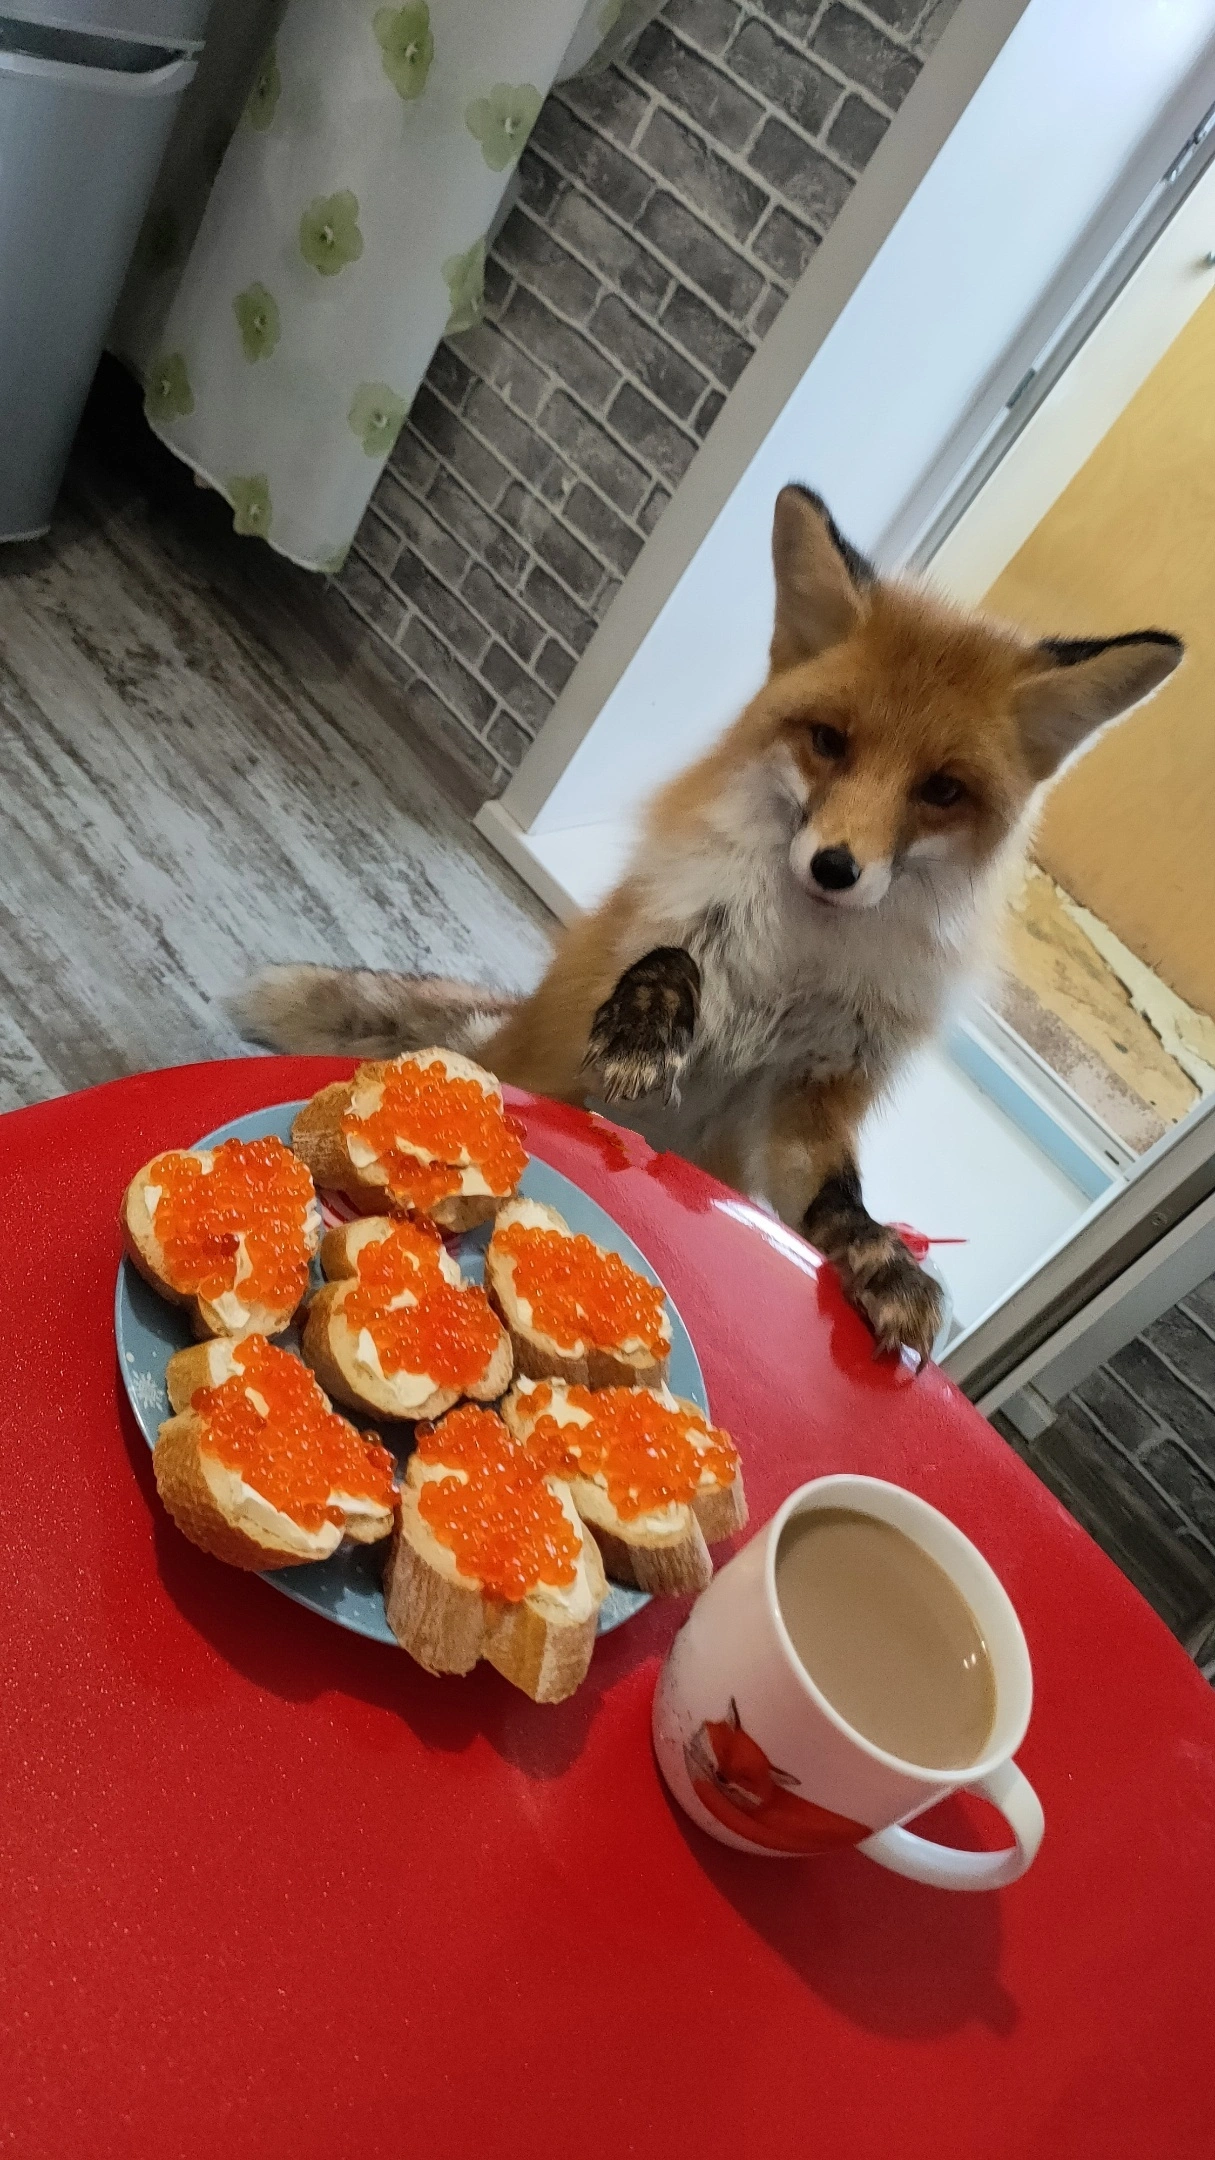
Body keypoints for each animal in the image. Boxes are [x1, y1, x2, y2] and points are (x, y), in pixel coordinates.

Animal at [238, 487, 1183, 1363]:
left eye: (941, 790)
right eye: (829, 741)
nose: (834, 868)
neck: (794, 960)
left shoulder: (803, 1105)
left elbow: (840, 1196)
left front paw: (885, 1263)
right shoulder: (578, 1043)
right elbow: (672, 958)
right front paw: (647, 1027)